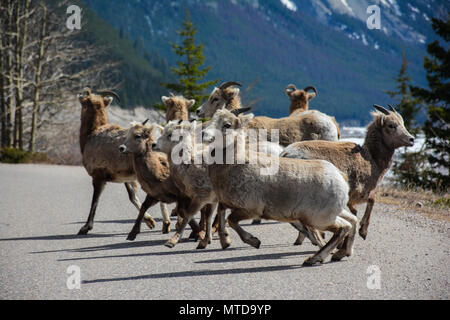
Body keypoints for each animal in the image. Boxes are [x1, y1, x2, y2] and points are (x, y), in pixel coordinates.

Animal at [76, 87, 168, 235]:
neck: (91, 135)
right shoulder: (127, 178)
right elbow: (132, 197)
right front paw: (150, 222)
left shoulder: (98, 177)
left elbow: (95, 201)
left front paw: (85, 228)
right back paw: (167, 225)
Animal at [202, 109, 356, 264]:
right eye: (213, 118)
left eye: (227, 124)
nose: (204, 134)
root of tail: (340, 177)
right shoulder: (226, 203)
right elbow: (221, 214)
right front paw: (225, 241)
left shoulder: (250, 210)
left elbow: (231, 220)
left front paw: (255, 242)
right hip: (334, 212)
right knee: (352, 221)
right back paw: (340, 254)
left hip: (319, 219)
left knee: (344, 227)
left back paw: (314, 259)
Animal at [282, 104, 414, 241]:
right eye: (391, 125)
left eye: (402, 123)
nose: (411, 139)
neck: (372, 160)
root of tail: (286, 154)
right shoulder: (360, 192)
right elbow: (372, 201)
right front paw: (363, 232)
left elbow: (354, 210)